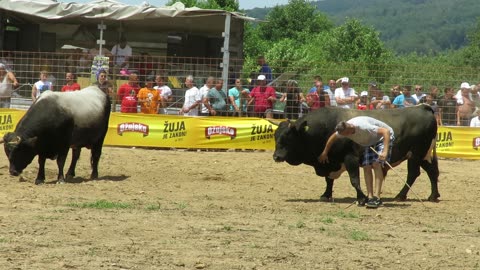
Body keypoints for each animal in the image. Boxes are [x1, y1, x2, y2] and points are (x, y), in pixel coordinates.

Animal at [272, 104, 440, 204]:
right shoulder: (329, 161)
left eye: (288, 137)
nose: (276, 156)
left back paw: (400, 195)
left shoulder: (350, 158)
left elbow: (354, 179)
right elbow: (329, 180)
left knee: (413, 173)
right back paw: (433, 196)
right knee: (432, 172)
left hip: (416, 154)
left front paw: (362, 198)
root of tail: (423, 107)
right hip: (425, 155)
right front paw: (326, 194)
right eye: (275, 136)